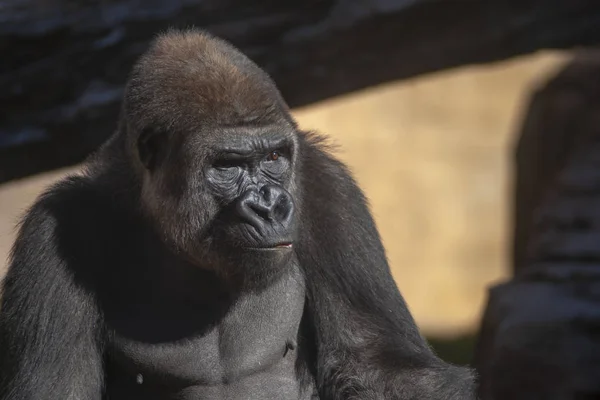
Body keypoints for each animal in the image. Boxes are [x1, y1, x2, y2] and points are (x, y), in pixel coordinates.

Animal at [1, 28, 478, 400]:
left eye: (274, 157)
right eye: (227, 166)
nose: (269, 205)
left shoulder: (328, 189)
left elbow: (379, 368)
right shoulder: (55, 233)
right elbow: (55, 388)